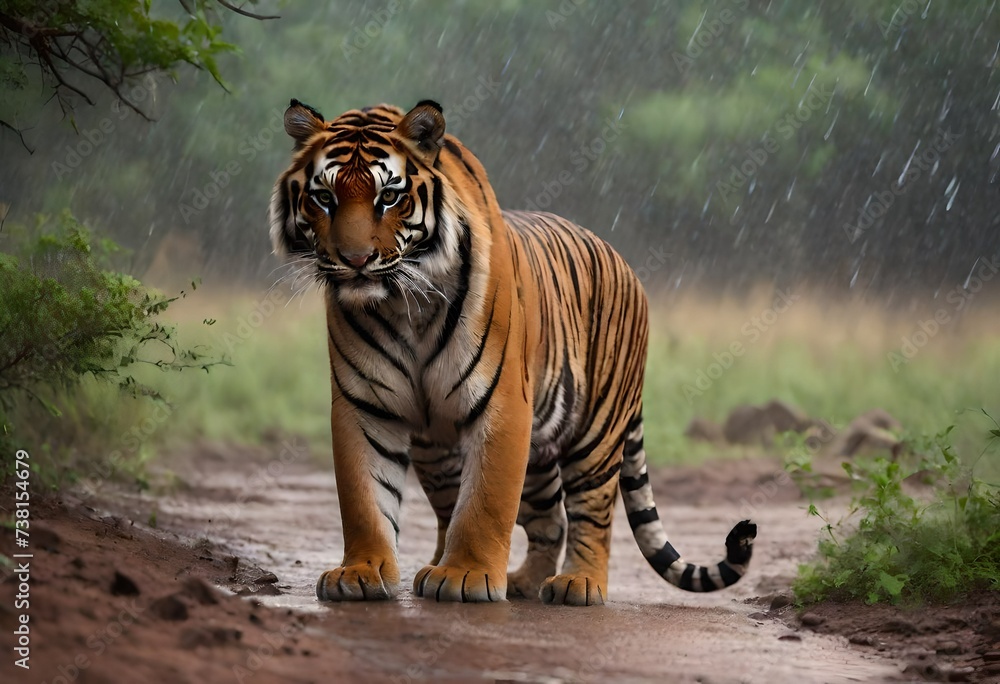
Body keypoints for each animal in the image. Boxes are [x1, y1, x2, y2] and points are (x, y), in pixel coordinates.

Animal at [269, 99, 756, 605]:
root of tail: (624, 262)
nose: (355, 260)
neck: (406, 304)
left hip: (596, 431)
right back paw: (515, 578)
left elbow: (486, 502)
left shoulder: (502, 403)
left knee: (591, 514)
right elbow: (365, 498)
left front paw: (465, 575)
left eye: (388, 197)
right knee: (542, 518)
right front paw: (361, 572)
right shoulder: (364, 405)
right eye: (324, 198)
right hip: (467, 452)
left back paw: (579, 584)